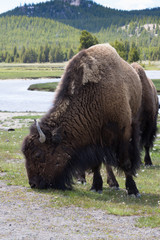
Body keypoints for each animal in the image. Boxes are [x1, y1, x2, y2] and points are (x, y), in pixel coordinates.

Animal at [21, 43, 142, 197]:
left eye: (38, 154)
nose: (33, 184)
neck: (94, 96)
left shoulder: (123, 132)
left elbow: (125, 161)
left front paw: (133, 190)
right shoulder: (94, 140)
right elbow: (96, 164)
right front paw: (96, 186)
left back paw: (116, 184)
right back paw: (112, 183)